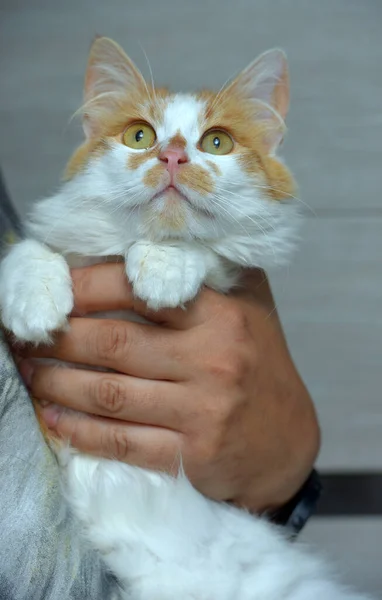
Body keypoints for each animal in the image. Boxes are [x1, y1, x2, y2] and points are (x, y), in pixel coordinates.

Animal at [0, 37, 372, 600]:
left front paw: (162, 269)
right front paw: (35, 302)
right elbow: (31, 249)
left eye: (217, 143)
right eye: (139, 136)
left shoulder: (236, 265)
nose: (172, 156)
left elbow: (201, 249)